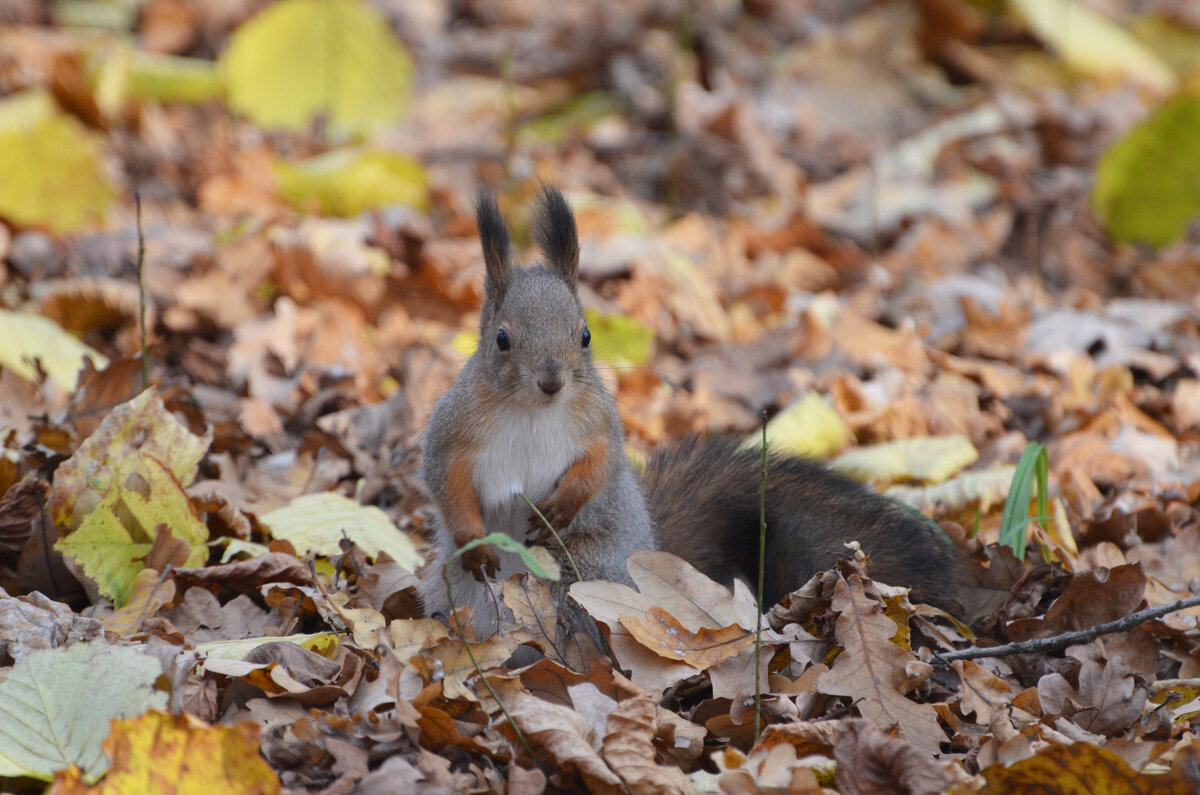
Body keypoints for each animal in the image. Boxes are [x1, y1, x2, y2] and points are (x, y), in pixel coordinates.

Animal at [417, 187, 969, 643]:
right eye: (501, 339)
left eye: (585, 335)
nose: (552, 382)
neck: (532, 411)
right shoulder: (454, 431)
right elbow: (447, 482)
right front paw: (474, 542)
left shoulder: (597, 422)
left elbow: (601, 465)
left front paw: (563, 504)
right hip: (461, 589)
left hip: (579, 574)